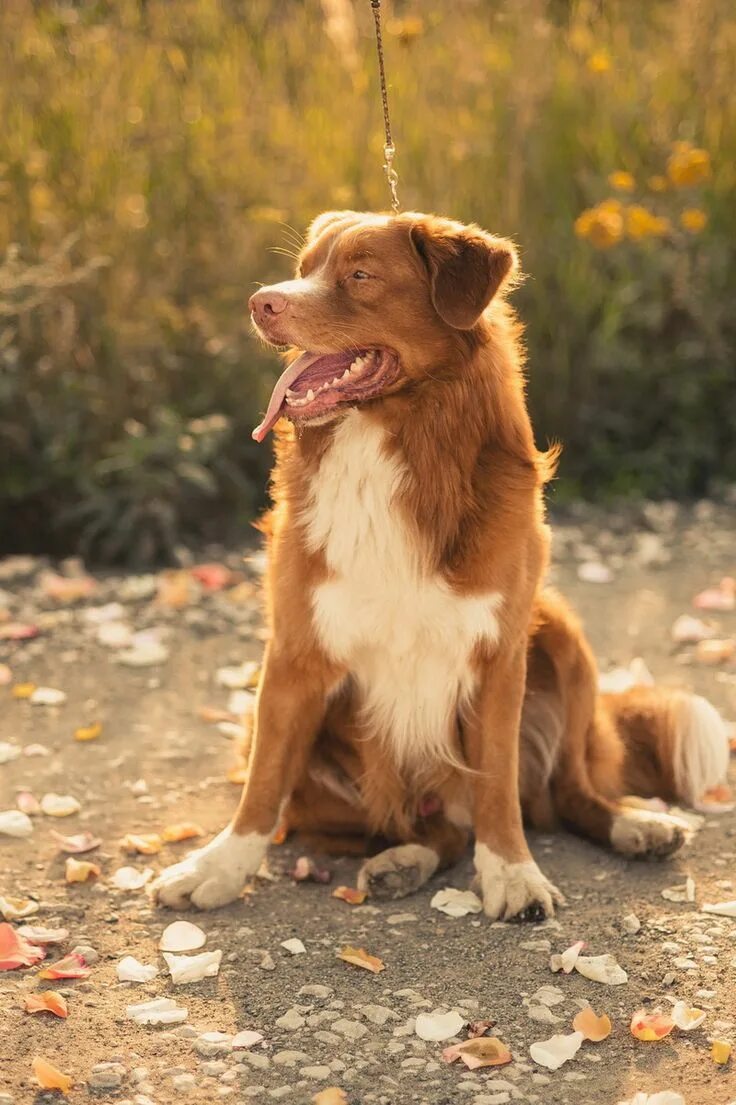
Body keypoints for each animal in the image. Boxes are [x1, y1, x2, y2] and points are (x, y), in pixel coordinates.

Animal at [150, 211, 729, 919]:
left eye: (360, 275)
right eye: (304, 268)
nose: (262, 303)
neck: (395, 441)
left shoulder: (500, 655)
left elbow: (498, 786)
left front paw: (512, 872)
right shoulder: (293, 654)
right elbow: (261, 784)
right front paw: (220, 868)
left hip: (561, 634)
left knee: (562, 792)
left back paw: (633, 826)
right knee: (437, 830)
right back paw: (403, 861)